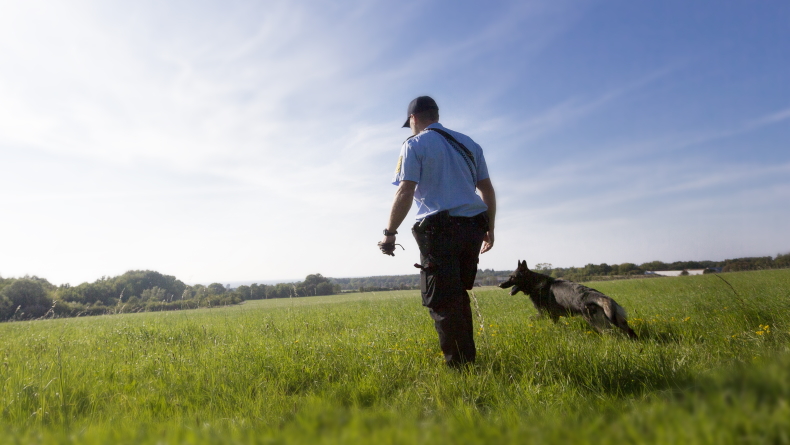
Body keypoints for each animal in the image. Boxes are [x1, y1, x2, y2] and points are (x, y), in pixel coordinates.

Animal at [504, 258, 640, 338]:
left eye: (512, 277)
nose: (500, 285)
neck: (535, 283)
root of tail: (599, 297)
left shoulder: (545, 314)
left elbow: (532, 319)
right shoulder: (553, 316)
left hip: (598, 324)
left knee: (611, 335)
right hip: (618, 321)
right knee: (629, 331)